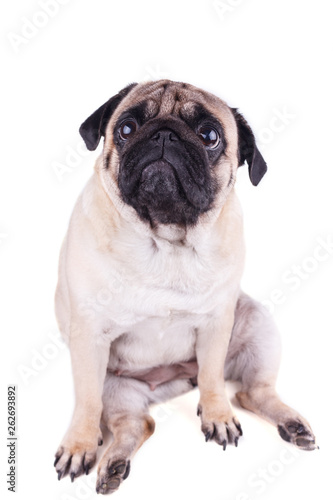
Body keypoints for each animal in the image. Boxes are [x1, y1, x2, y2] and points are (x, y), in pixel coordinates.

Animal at [54, 80, 316, 494]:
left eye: (210, 136)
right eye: (126, 128)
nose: (164, 134)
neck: (165, 240)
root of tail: (170, 382)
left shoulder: (216, 323)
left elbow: (212, 378)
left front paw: (218, 416)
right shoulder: (88, 335)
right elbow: (86, 402)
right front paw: (79, 444)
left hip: (258, 323)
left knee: (249, 392)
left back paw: (291, 424)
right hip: (118, 390)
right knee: (136, 423)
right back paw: (112, 465)